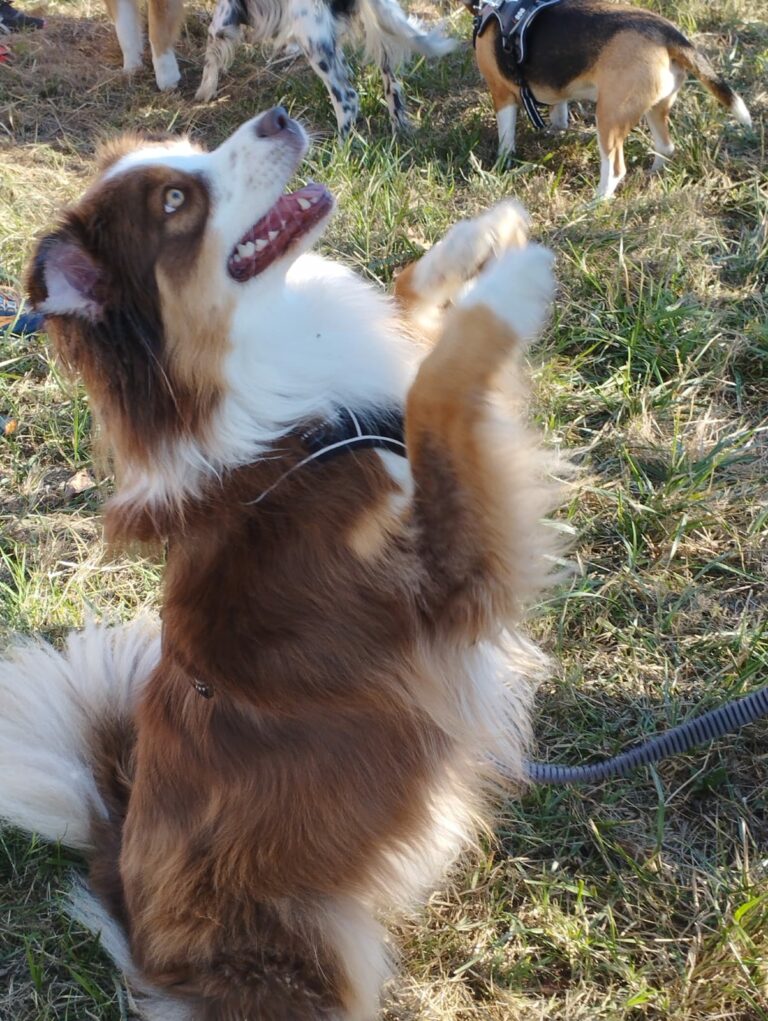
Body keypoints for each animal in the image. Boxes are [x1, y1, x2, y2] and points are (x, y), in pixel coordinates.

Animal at [3, 109, 559, 1021]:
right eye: (175, 201)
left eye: (189, 149)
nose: (279, 116)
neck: (287, 429)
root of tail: (119, 880)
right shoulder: (447, 582)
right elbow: (437, 394)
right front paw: (509, 287)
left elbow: (409, 303)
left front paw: (482, 237)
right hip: (314, 950)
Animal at [471, 0, 751, 197]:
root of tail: (668, 34)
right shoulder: (557, 91)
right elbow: (559, 112)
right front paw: (555, 131)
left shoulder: (501, 94)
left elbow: (506, 136)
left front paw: (502, 163)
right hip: (656, 108)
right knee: (665, 147)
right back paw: (652, 175)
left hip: (609, 118)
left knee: (615, 169)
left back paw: (595, 202)